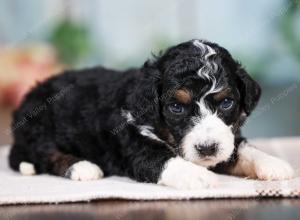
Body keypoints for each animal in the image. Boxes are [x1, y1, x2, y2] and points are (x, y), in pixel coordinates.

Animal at [8, 39, 294, 189]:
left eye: (226, 103)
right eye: (176, 107)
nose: (207, 149)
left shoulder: (227, 137)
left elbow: (241, 148)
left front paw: (274, 164)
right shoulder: (134, 147)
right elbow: (164, 160)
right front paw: (200, 176)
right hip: (39, 127)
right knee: (45, 153)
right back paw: (82, 167)